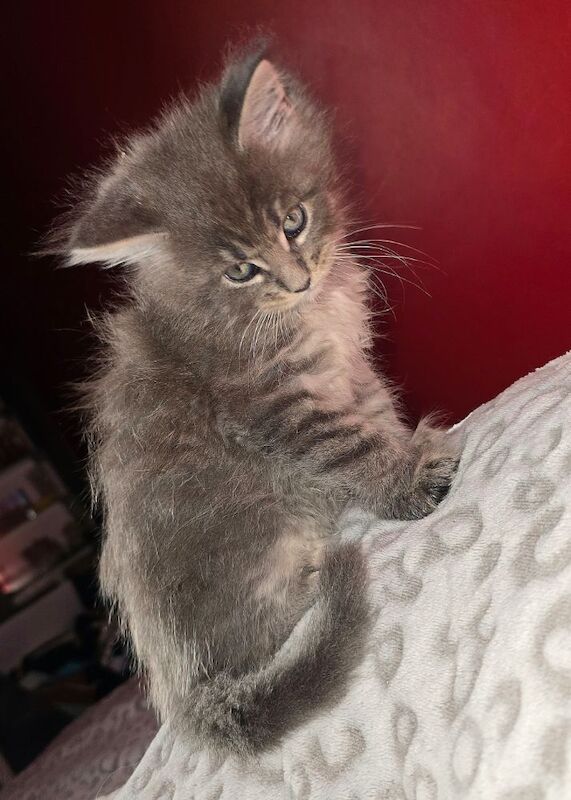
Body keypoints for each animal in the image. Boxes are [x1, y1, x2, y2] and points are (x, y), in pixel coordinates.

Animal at [50, 45, 460, 756]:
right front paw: (409, 482)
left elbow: (378, 418)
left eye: (294, 221)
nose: (299, 281)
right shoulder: (277, 409)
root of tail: (192, 697)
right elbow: (352, 449)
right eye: (241, 269)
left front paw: (408, 445)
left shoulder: (352, 371)